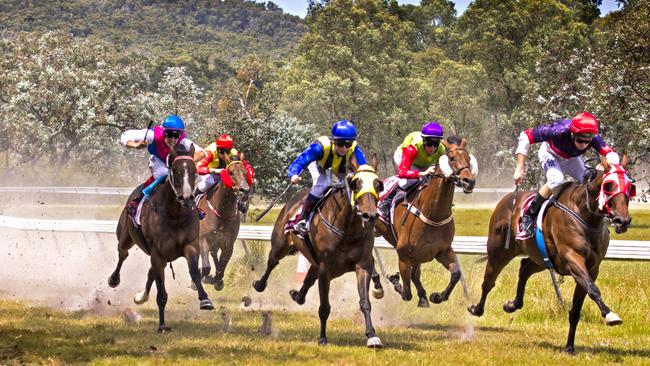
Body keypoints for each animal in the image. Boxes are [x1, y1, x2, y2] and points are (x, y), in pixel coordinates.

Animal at [107, 144, 214, 334]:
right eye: (175, 171)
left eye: (194, 171)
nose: (186, 198)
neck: (175, 215)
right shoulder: (157, 253)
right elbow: (161, 292)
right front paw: (162, 325)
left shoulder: (190, 246)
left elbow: (194, 272)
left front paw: (205, 300)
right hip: (126, 237)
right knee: (123, 253)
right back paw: (114, 279)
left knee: (150, 272)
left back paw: (141, 296)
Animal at [195, 159, 251, 290]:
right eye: (230, 172)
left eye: (246, 172)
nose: (245, 191)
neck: (221, 211)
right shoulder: (203, 239)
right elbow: (206, 267)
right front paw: (201, 279)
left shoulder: (228, 243)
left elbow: (221, 266)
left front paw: (217, 281)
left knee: (214, 255)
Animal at [252, 159, 384, 348]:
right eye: (356, 185)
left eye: (378, 185)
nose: (370, 215)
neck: (347, 229)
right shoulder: (325, 268)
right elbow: (324, 306)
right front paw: (322, 338)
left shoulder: (362, 265)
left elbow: (365, 302)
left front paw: (372, 335)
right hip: (280, 245)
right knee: (272, 262)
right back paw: (259, 284)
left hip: (315, 263)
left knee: (307, 280)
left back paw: (297, 295)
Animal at [374, 135, 476, 306]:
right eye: (452, 158)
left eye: (468, 158)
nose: (469, 181)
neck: (433, 214)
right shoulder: (403, 254)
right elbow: (406, 293)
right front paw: (394, 280)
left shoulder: (442, 250)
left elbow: (456, 273)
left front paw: (437, 296)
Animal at [468, 158, 632, 354]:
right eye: (609, 186)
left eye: (630, 186)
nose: (622, 221)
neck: (585, 214)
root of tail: (507, 199)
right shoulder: (573, 259)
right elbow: (593, 289)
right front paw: (610, 315)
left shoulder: (592, 269)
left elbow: (577, 308)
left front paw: (569, 346)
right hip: (499, 252)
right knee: (488, 282)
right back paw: (476, 309)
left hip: (541, 258)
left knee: (524, 268)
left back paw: (513, 304)